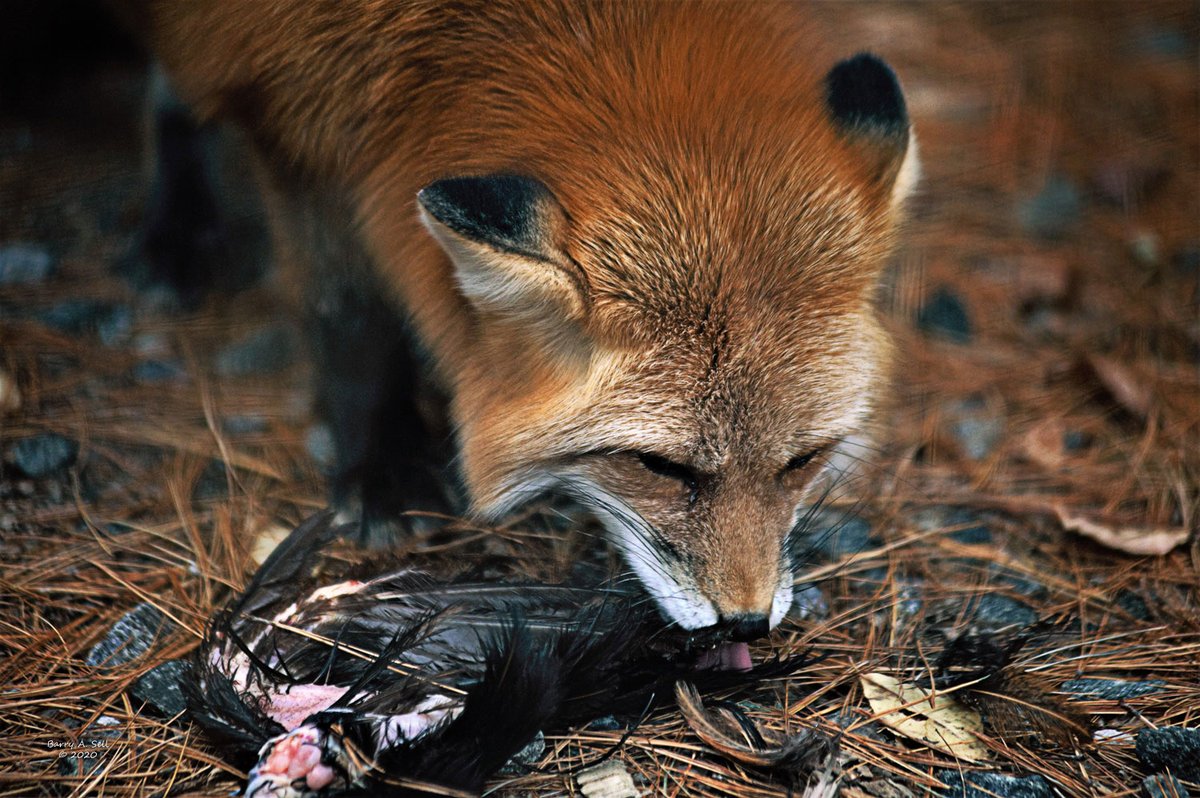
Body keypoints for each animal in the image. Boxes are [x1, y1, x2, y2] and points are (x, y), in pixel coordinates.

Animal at [109, 0, 918, 642]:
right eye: (659, 467)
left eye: (801, 462)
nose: (746, 622)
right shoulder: (298, 125)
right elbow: (349, 314)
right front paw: (380, 469)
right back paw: (178, 226)